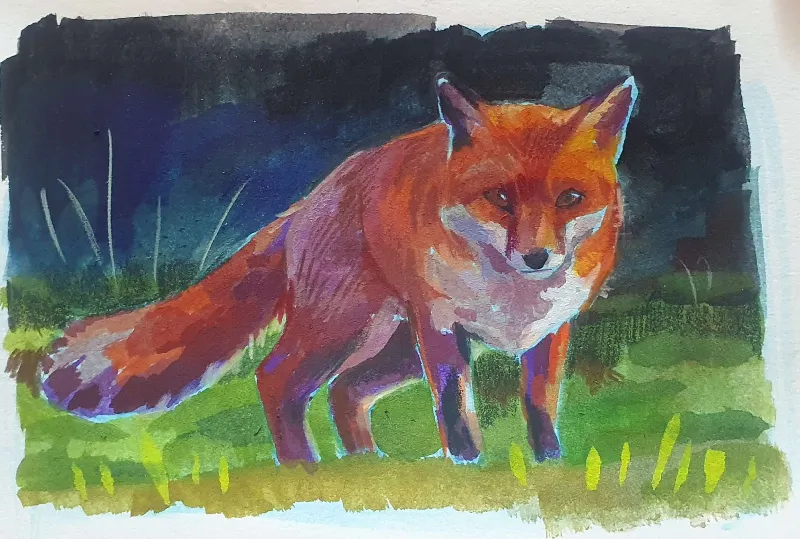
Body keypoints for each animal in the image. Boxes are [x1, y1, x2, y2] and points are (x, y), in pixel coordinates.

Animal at [32, 73, 637, 466]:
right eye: (500, 198)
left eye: (569, 199)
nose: (537, 257)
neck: (512, 295)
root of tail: (307, 203)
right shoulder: (441, 330)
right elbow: (455, 411)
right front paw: (470, 470)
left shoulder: (549, 332)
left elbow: (541, 407)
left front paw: (548, 470)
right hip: (346, 328)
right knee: (277, 378)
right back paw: (305, 470)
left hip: (392, 347)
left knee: (344, 391)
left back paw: (367, 466)